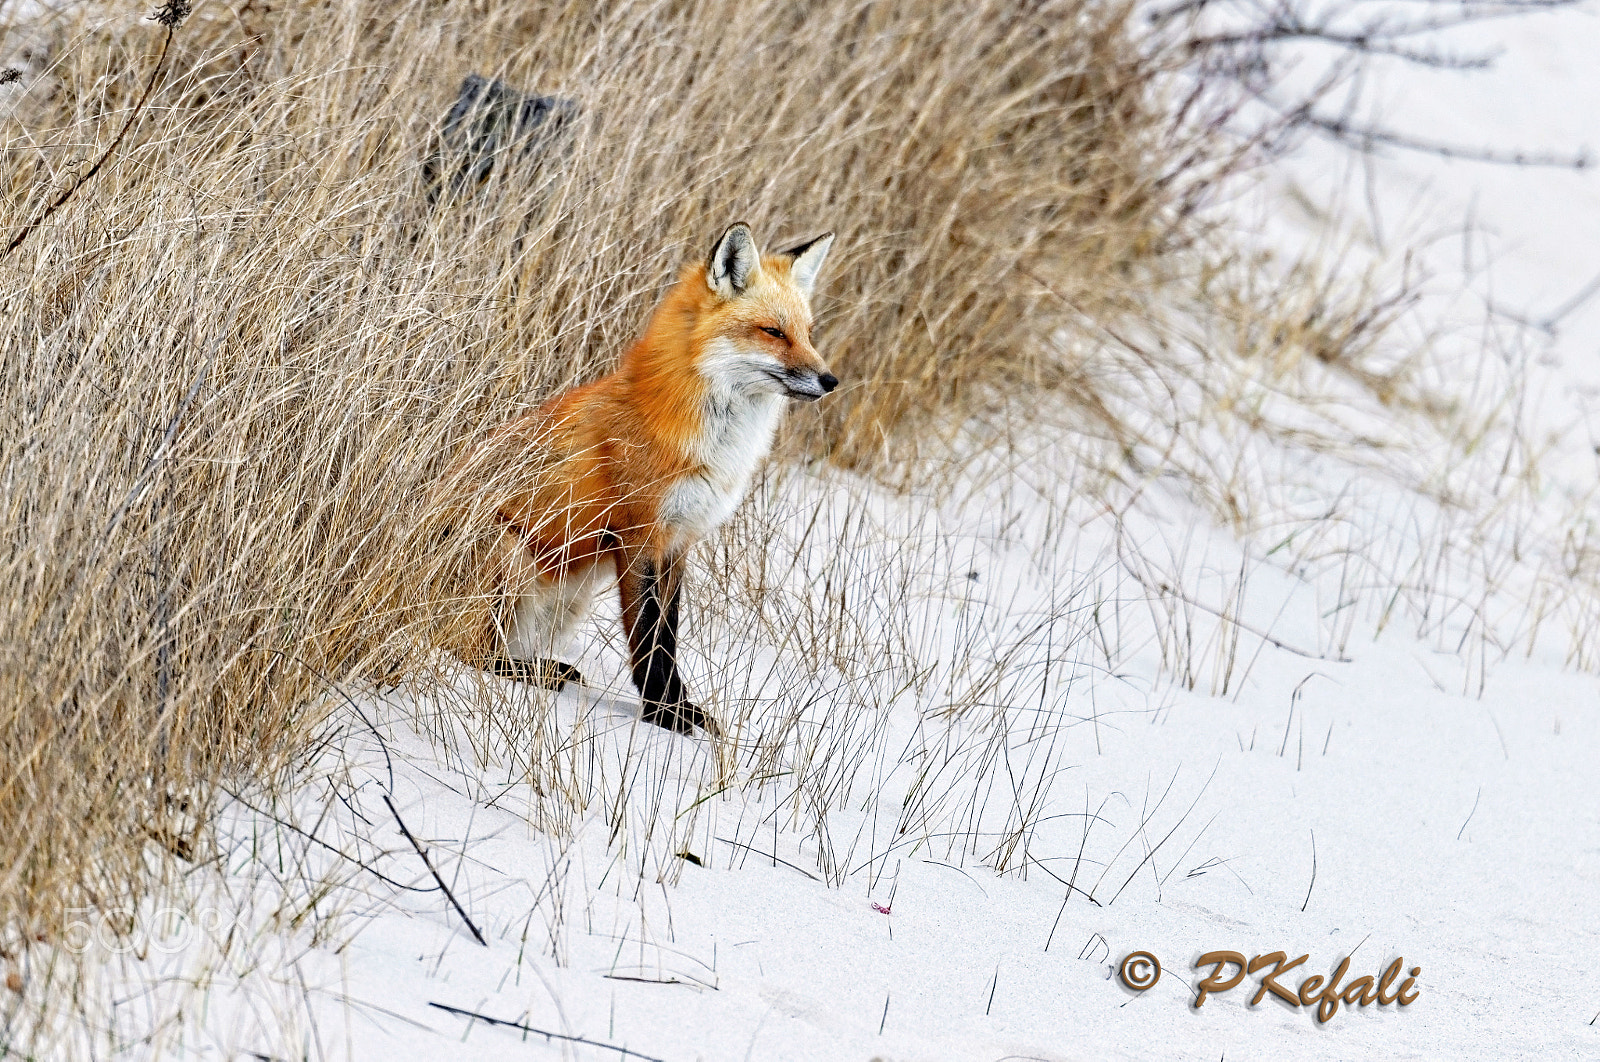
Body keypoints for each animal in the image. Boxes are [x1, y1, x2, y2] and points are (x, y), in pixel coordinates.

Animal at [439, 222, 836, 736]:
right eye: (773, 332)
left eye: (808, 334)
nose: (830, 380)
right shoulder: (640, 534)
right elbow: (649, 638)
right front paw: (664, 715)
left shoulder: (680, 539)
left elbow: (667, 635)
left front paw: (679, 709)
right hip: (507, 560)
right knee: (466, 651)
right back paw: (536, 673)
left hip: (569, 598)